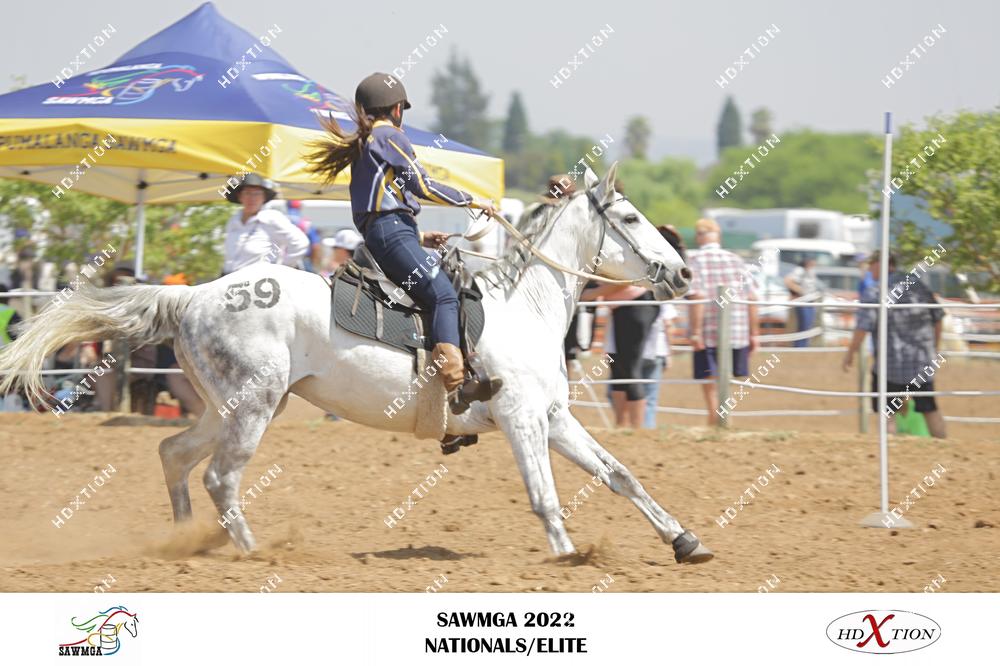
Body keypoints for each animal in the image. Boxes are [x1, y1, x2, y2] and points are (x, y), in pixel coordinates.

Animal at [0, 162, 714, 564]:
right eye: (630, 217)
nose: (681, 272)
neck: (523, 304)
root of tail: (195, 293)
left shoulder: (555, 417)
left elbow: (620, 475)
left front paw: (685, 542)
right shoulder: (520, 418)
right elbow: (544, 492)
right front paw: (566, 555)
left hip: (230, 408)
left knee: (175, 455)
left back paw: (186, 541)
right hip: (253, 408)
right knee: (221, 478)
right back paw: (253, 553)